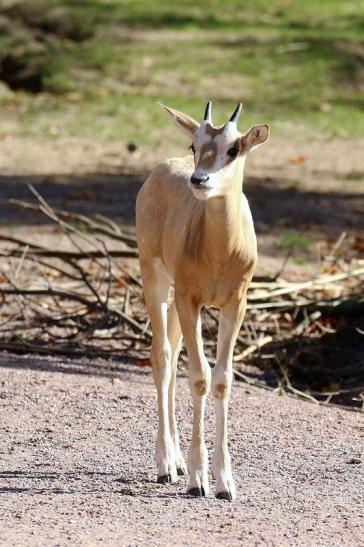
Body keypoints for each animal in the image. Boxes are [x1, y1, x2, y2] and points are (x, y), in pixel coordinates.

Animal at [135, 100, 268, 504]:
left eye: (233, 148)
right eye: (195, 144)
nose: (199, 180)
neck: (221, 250)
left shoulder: (234, 305)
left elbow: (221, 379)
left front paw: (225, 483)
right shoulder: (191, 300)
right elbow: (199, 377)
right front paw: (198, 480)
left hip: (179, 301)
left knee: (173, 350)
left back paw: (176, 461)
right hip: (157, 280)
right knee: (163, 356)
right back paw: (166, 465)